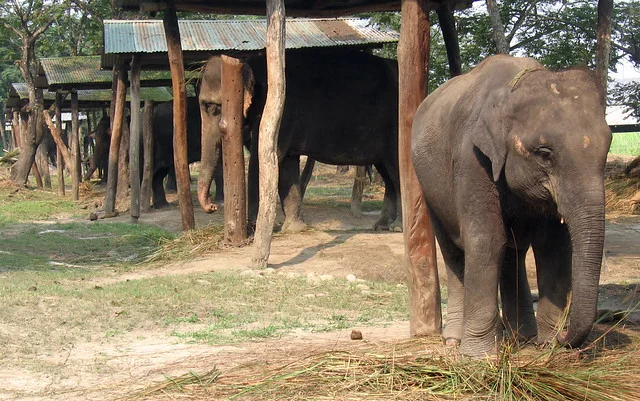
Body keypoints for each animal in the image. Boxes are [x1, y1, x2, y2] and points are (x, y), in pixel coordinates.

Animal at [197, 48, 401, 232]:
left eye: (212, 107)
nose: (212, 206)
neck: (252, 63)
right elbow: (287, 164)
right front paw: (295, 228)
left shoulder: (279, 115)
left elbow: (263, 160)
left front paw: (251, 229)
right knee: (388, 173)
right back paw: (382, 225)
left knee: (397, 168)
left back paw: (397, 227)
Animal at [411, 54, 612, 357]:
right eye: (544, 154)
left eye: (608, 148)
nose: (564, 336)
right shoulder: (471, 158)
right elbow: (486, 239)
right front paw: (480, 356)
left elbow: (553, 245)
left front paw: (545, 344)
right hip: (429, 186)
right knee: (454, 251)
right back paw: (455, 340)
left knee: (512, 250)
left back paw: (522, 337)